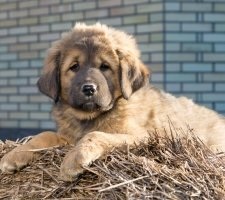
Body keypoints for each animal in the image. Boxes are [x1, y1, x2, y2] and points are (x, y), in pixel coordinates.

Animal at [0, 23, 225, 181]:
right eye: (74, 67)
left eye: (105, 67)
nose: (89, 89)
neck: (90, 117)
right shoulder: (68, 136)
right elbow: (43, 135)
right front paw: (13, 156)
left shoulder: (142, 136)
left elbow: (96, 135)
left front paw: (74, 159)